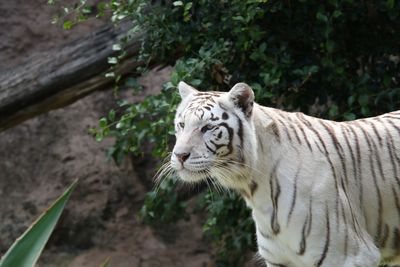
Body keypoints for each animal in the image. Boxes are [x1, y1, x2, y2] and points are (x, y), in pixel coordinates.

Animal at [166, 81, 400, 267]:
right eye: (181, 124)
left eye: (207, 127)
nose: (179, 155)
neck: (254, 189)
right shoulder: (279, 260)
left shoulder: (349, 256)